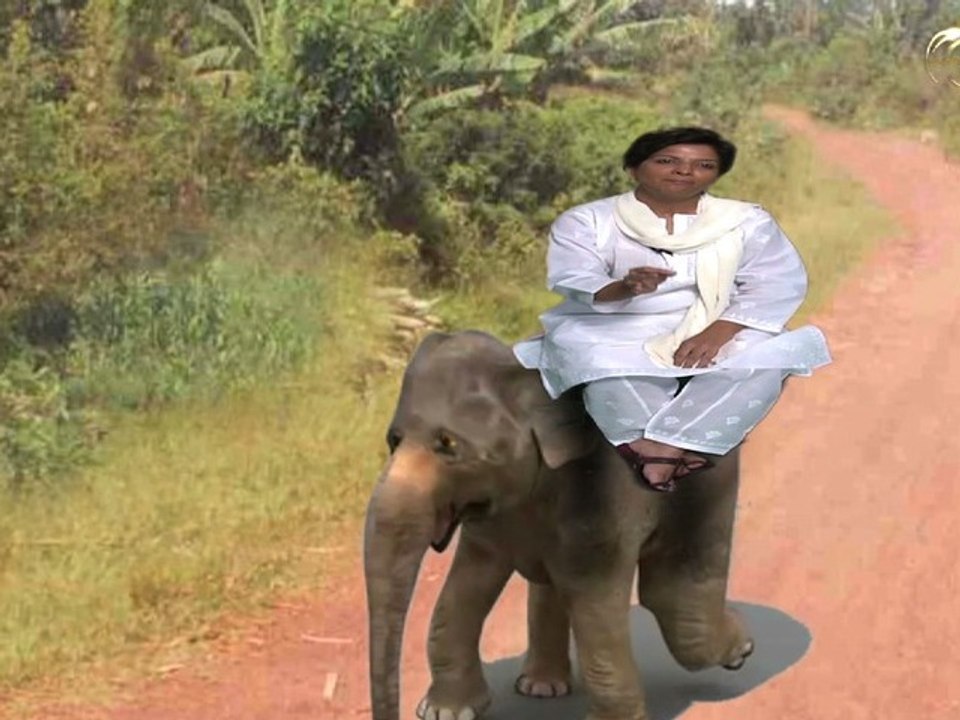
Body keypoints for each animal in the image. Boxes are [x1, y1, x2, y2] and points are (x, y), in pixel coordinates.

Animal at [364, 330, 755, 720]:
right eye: (394, 439)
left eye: (447, 444)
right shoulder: (492, 519)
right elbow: (465, 588)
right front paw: (443, 712)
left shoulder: (599, 492)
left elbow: (594, 600)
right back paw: (542, 687)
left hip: (708, 474)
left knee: (675, 602)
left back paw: (741, 649)